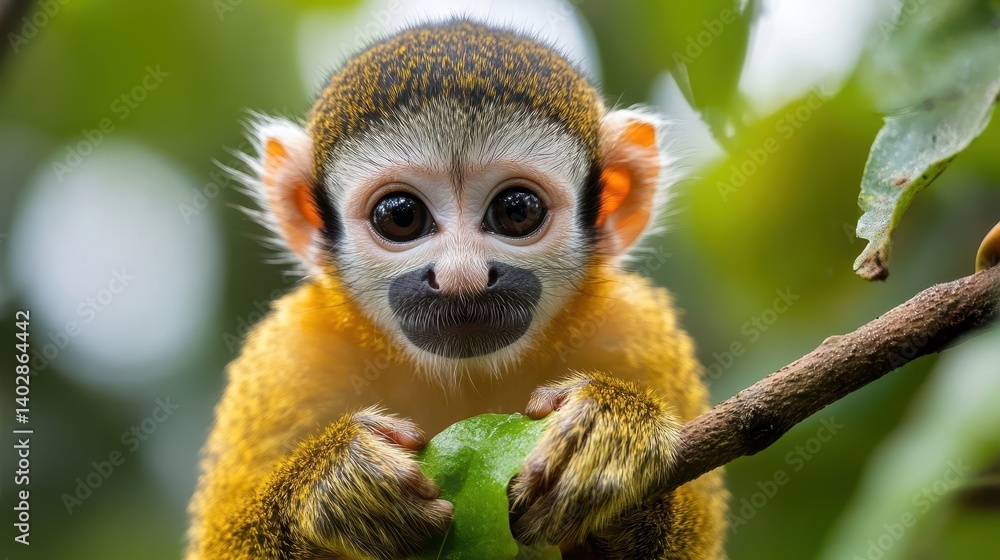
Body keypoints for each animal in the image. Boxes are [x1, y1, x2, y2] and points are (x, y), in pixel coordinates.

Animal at [186, 18, 727, 560]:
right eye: (401, 216)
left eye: (516, 210)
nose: (461, 276)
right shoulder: (289, 351)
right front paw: (332, 483)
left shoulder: (636, 328)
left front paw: (610, 440)